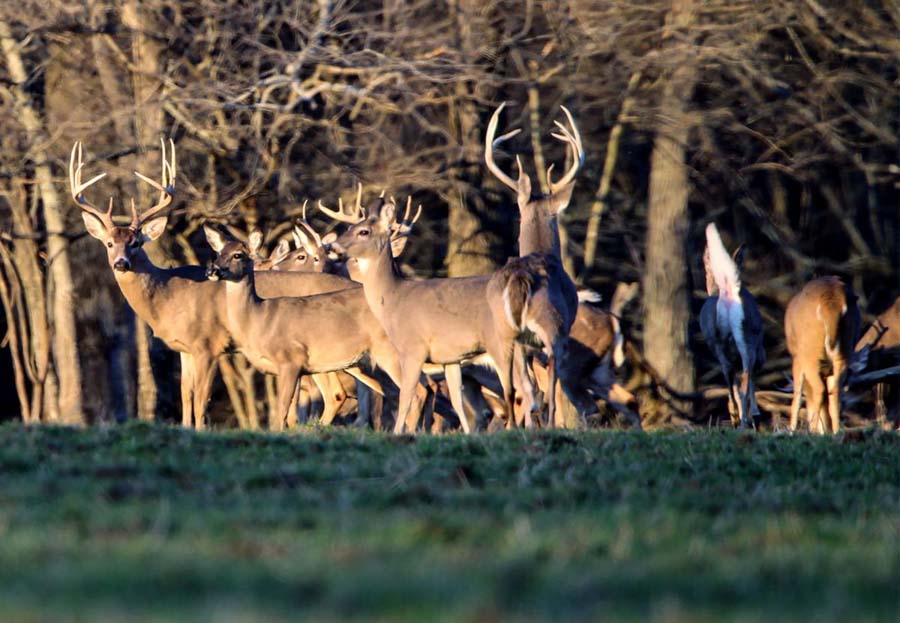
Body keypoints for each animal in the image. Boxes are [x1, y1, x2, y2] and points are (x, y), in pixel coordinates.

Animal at [700, 223, 764, 428]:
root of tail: (727, 292)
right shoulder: (758, 348)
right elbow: (751, 380)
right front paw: (756, 415)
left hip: (716, 342)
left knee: (729, 374)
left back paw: (736, 417)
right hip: (746, 338)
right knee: (745, 376)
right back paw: (745, 420)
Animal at [784, 276, 860, 434]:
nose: (825, 429)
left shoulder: (797, 359)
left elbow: (797, 395)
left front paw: (792, 429)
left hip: (810, 354)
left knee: (819, 389)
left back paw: (812, 430)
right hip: (844, 352)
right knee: (835, 391)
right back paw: (836, 431)